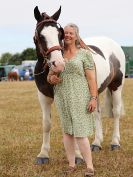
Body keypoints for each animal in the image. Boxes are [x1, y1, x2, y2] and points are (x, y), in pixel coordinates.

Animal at [33, 6, 124, 165]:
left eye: (60, 33)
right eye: (40, 35)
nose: (58, 64)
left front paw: (77, 156)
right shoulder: (43, 97)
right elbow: (46, 124)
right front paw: (43, 154)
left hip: (116, 86)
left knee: (116, 112)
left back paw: (115, 143)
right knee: (97, 113)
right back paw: (96, 143)